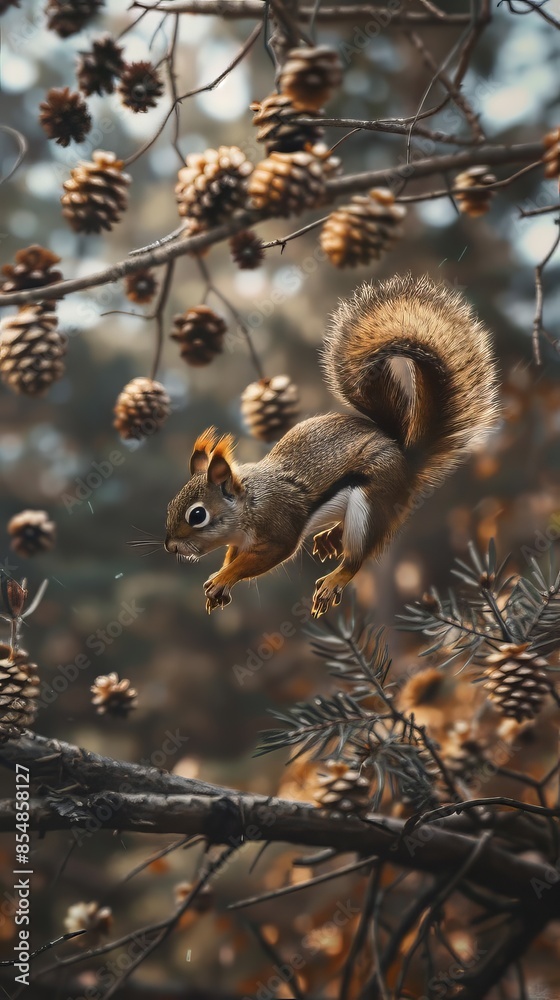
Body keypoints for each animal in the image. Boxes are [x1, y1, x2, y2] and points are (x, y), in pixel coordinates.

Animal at [165, 274, 498, 618]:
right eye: (170, 505)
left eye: (197, 515)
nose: (170, 546)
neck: (250, 503)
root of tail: (406, 459)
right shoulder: (240, 540)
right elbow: (233, 556)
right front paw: (219, 580)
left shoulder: (279, 529)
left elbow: (258, 560)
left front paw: (224, 577)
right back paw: (329, 538)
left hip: (370, 504)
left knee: (357, 559)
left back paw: (334, 578)